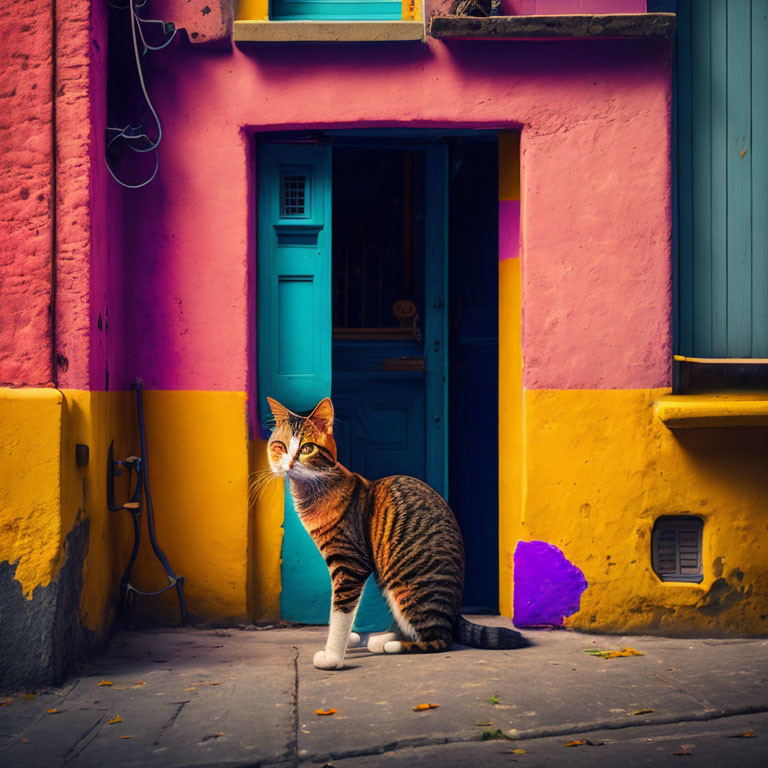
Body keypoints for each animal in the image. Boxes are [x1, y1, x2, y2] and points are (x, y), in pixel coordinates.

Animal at [268, 396, 524, 664]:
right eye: (280, 446)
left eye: (307, 448)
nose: (289, 464)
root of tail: (455, 611)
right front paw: (351, 641)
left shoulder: (349, 563)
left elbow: (341, 613)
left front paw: (333, 657)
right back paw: (381, 638)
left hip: (406, 587)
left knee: (439, 638)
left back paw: (391, 645)